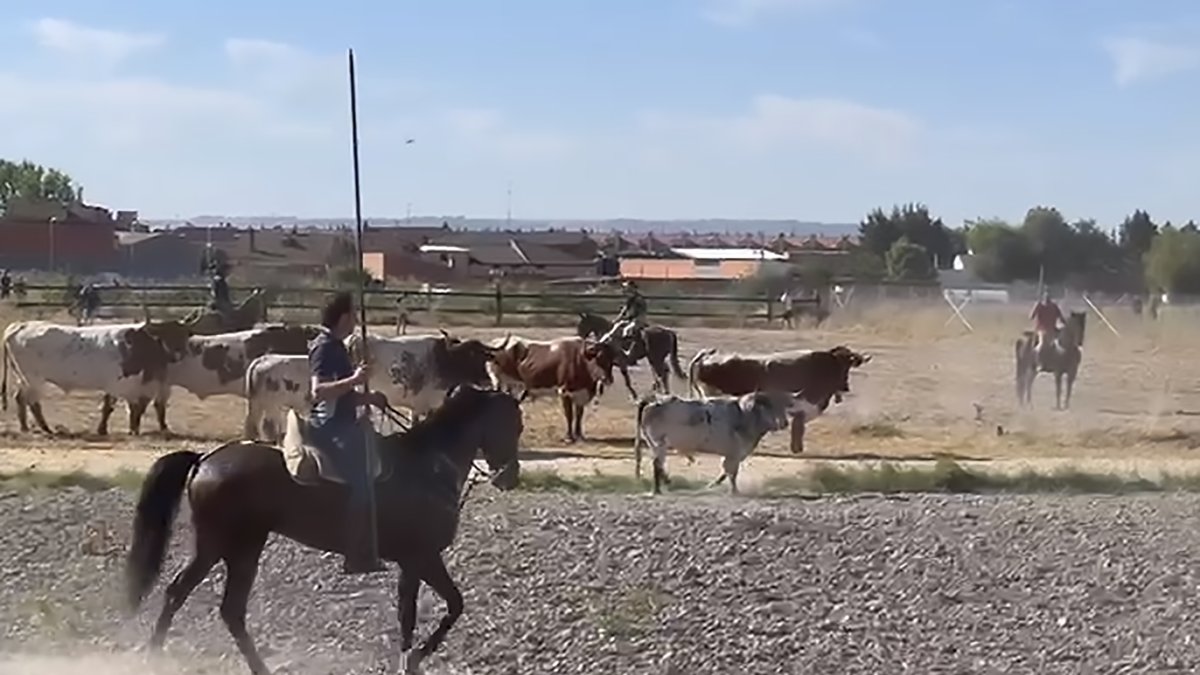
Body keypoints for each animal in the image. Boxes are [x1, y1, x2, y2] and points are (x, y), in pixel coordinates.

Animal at [0, 319, 174, 432]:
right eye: (162, 343)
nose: (174, 356)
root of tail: (20, 325)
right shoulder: (119, 384)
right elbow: (117, 407)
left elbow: (128, 407)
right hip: (33, 378)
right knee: (32, 402)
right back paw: (46, 428)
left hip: (22, 377)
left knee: (20, 398)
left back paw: (25, 427)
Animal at [124, 384, 528, 672]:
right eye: (514, 424)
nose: (510, 476)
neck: (429, 465)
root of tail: (205, 458)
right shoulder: (422, 557)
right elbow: (444, 608)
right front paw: (413, 659)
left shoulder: (412, 563)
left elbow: (418, 613)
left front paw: (409, 661)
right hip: (226, 544)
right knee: (193, 597)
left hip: (234, 547)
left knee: (214, 604)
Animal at [487, 333, 619, 441]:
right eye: (599, 358)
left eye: (612, 360)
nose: (608, 379)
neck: (580, 360)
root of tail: (495, 343)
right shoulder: (564, 391)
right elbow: (569, 415)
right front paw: (569, 437)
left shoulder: (580, 394)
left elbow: (579, 415)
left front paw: (579, 435)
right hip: (498, 380)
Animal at [628, 389, 816, 494]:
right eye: (768, 405)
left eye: (783, 406)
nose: (783, 423)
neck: (745, 414)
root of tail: (653, 399)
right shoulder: (735, 452)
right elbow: (732, 473)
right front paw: (734, 491)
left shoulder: (732, 454)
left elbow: (725, 471)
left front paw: (713, 485)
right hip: (659, 443)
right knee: (657, 464)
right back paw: (658, 489)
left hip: (655, 444)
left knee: (659, 464)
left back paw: (666, 484)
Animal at [686, 345, 873, 451]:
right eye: (842, 366)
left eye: (848, 365)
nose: (845, 387)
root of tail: (706, 355)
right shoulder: (801, 405)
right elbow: (798, 430)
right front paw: (797, 449)